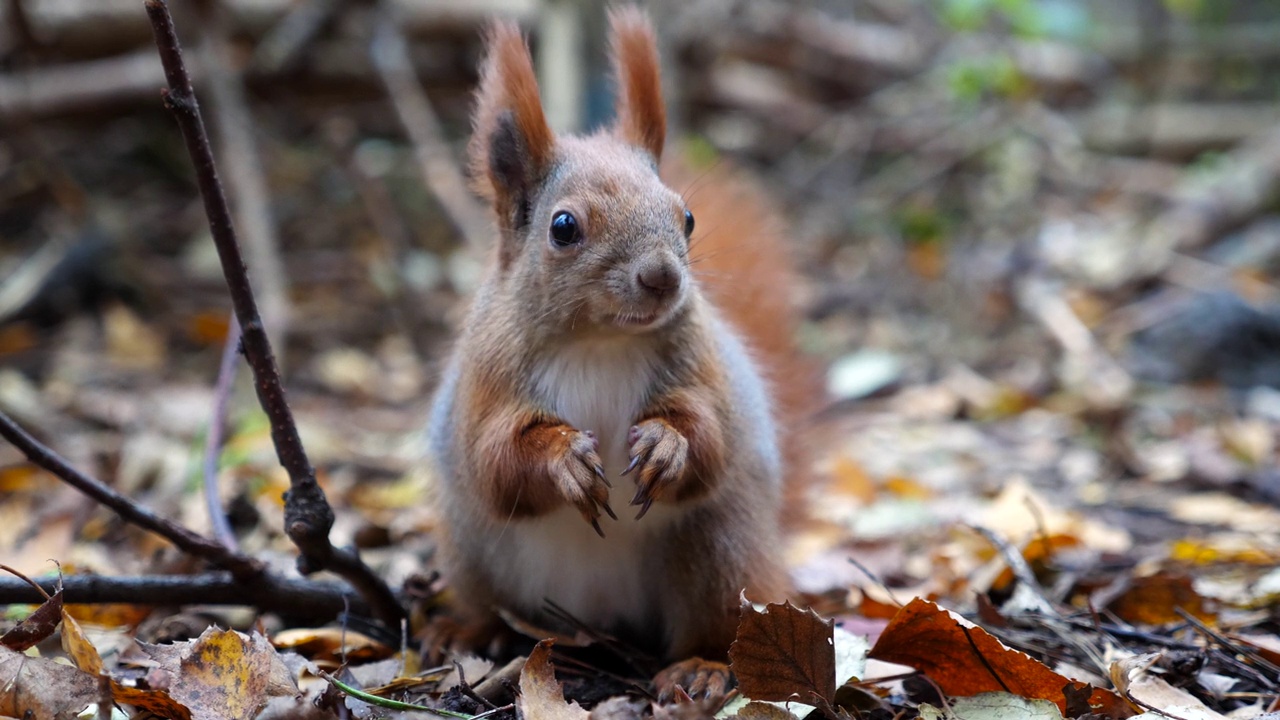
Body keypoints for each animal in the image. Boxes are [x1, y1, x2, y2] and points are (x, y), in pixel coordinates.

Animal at [424, 5, 814, 696]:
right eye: (563, 228)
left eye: (687, 218)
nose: (663, 276)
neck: (600, 341)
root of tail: (599, 618)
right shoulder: (485, 381)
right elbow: (493, 460)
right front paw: (562, 459)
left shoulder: (702, 368)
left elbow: (711, 435)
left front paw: (667, 445)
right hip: (474, 554)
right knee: (485, 593)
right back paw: (466, 630)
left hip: (717, 552)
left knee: (716, 621)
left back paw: (703, 667)